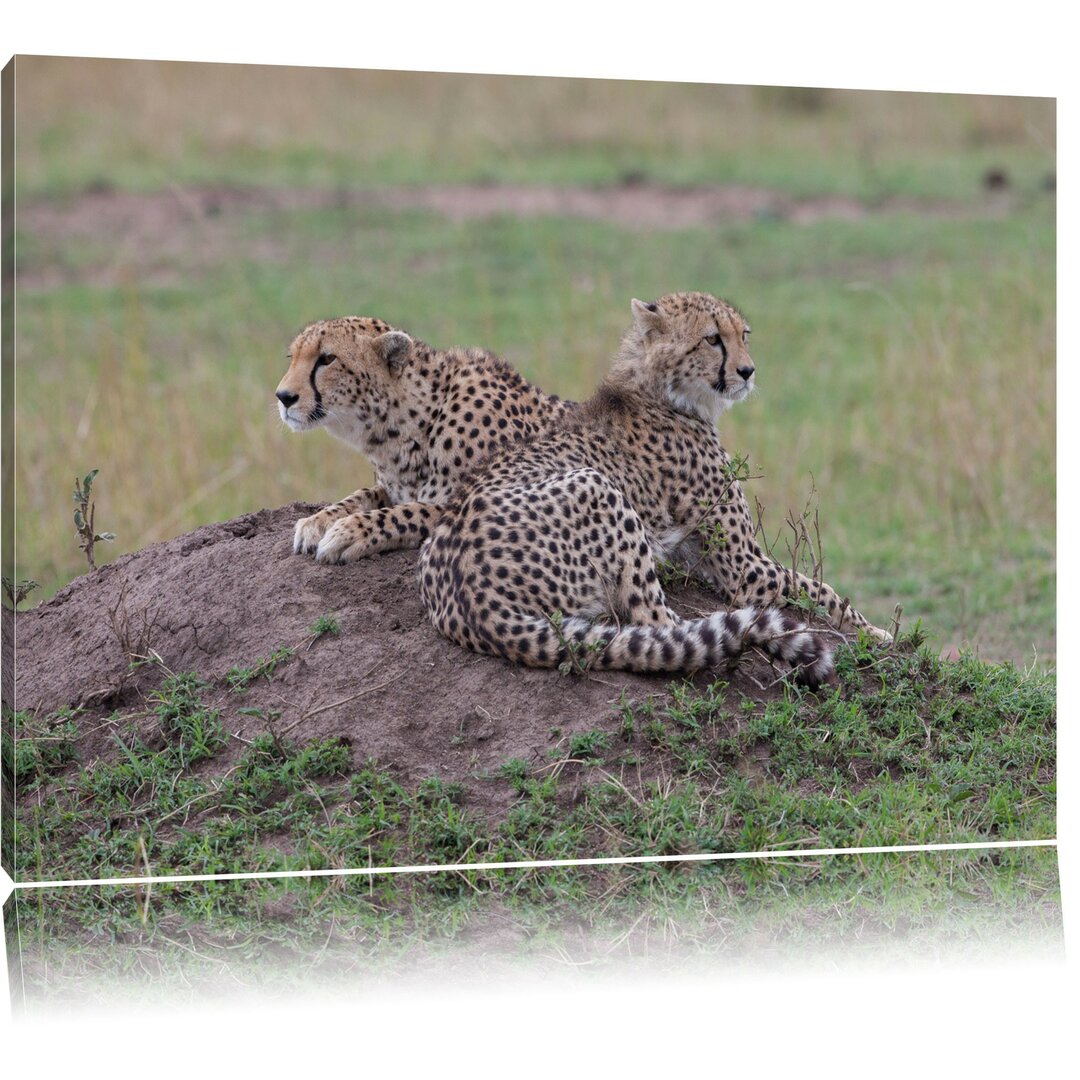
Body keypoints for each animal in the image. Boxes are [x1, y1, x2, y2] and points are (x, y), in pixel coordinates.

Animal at [276, 315, 574, 561]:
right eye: (292, 357)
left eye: (327, 359)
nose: (283, 397)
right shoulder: (391, 487)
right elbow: (363, 494)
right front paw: (318, 521)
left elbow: (409, 512)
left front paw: (349, 531)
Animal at [412, 291, 885, 686]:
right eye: (713, 339)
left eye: (743, 335)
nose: (748, 372)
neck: (662, 392)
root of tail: (469, 601)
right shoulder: (746, 567)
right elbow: (823, 591)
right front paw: (877, 634)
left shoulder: (704, 557)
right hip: (596, 486)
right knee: (662, 629)